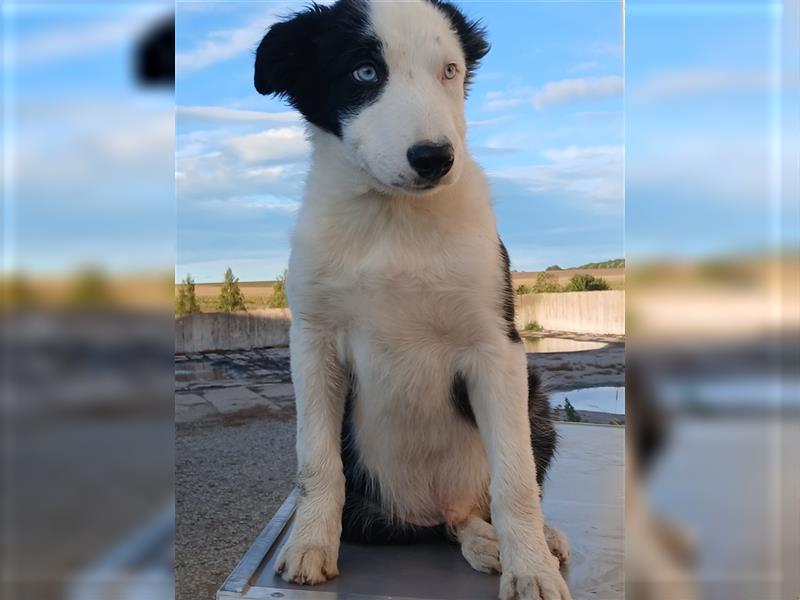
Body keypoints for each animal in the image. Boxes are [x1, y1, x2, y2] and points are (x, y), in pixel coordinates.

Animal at [253, 2, 572, 596]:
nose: (435, 158)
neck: (393, 218)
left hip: (534, 396)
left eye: (449, 71)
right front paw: (310, 542)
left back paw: (529, 538)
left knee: (485, 502)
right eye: (364, 72)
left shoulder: (498, 349)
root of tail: (435, 507)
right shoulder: (312, 343)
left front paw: (532, 568)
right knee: (452, 525)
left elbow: (515, 478)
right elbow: (316, 462)